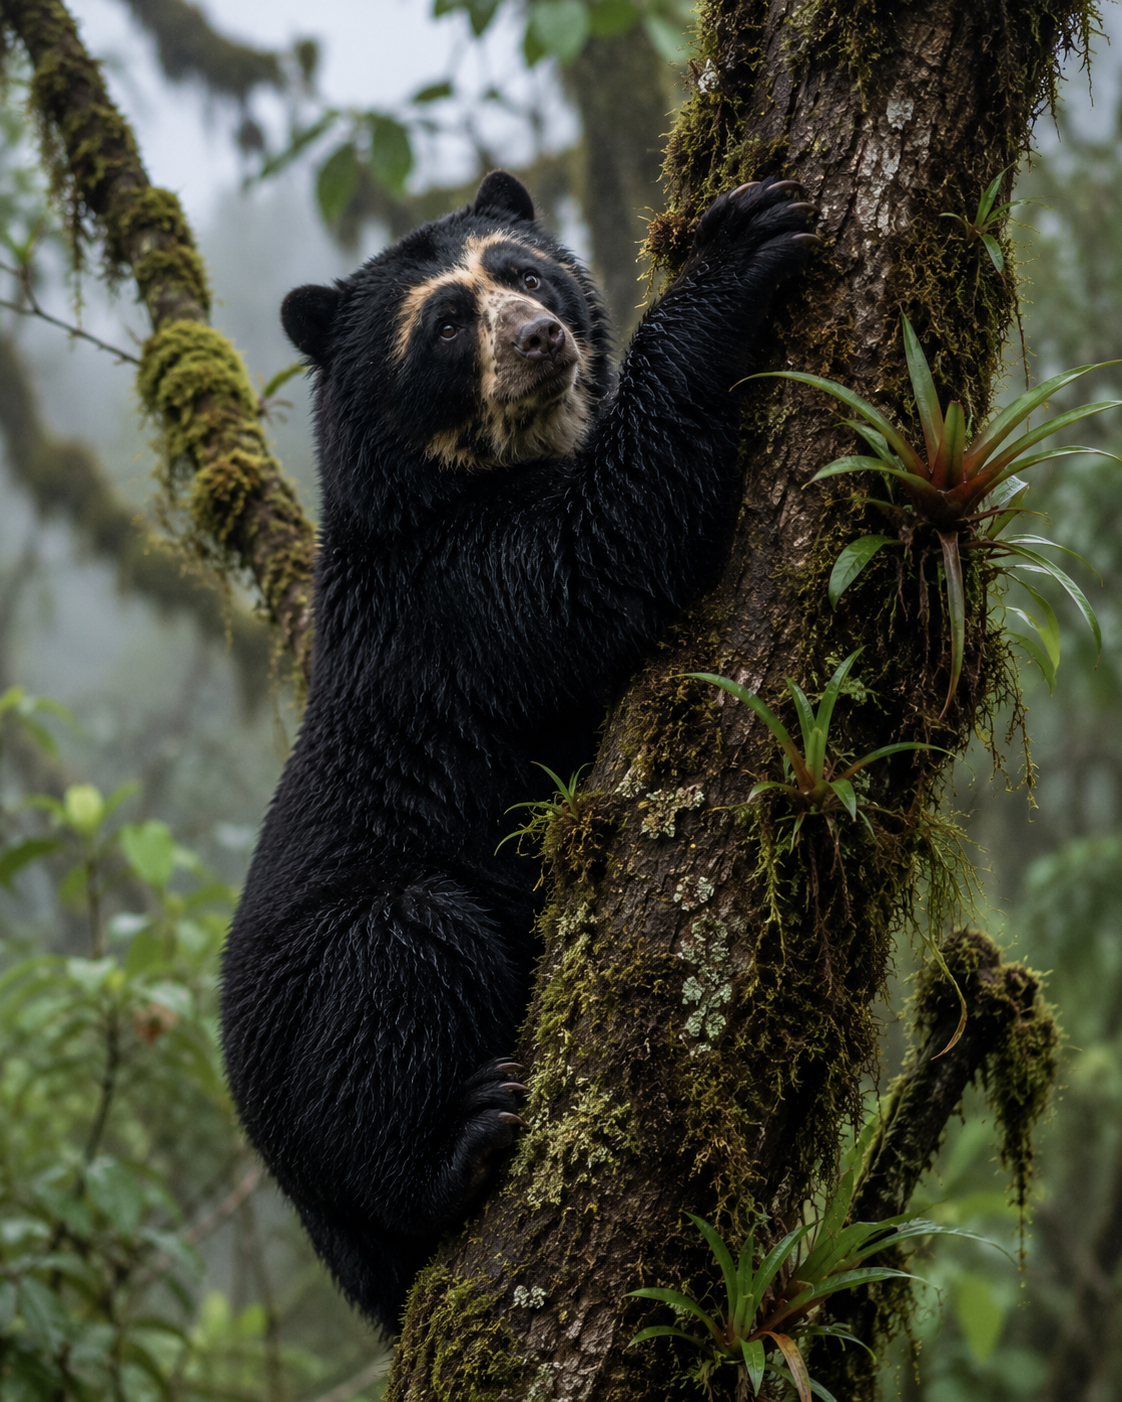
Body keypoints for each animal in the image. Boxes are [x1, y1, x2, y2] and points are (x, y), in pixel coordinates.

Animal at [219, 169, 817, 1333]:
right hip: (330, 1012)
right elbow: (598, 550)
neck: (474, 472)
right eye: (448, 324)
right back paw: (463, 1141)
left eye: (526, 273)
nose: (542, 338)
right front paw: (739, 245)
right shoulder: (451, 592)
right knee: (404, 960)